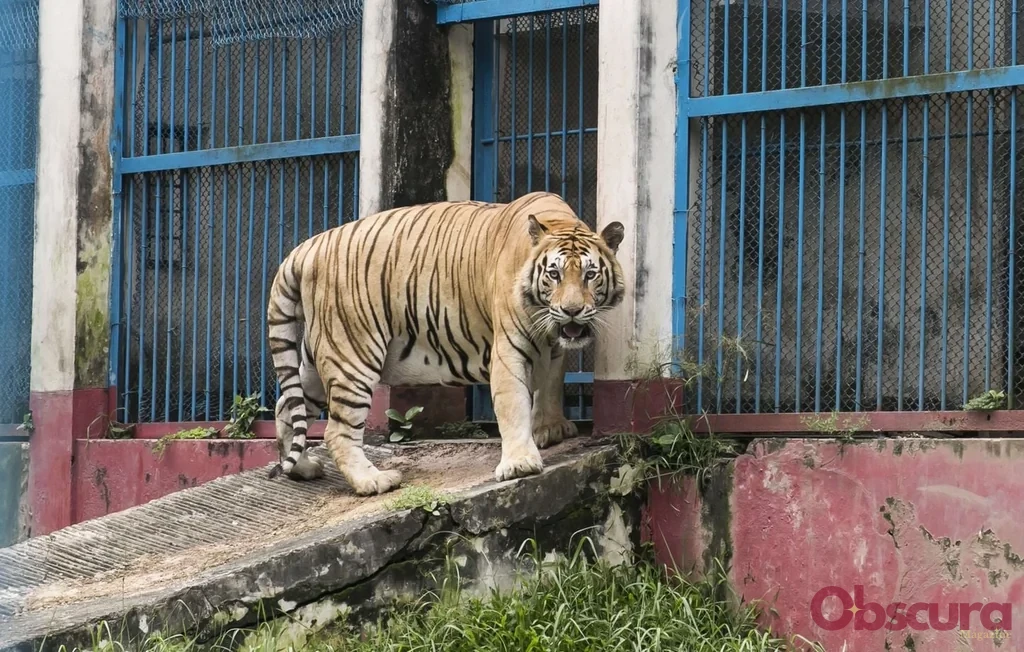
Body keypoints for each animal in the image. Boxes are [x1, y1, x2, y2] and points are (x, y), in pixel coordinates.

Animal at [267, 191, 625, 495]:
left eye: (590, 275)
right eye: (553, 274)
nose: (572, 311)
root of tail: (307, 247)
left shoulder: (554, 346)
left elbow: (550, 384)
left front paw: (550, 429)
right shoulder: (509, 348)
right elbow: (512, 403)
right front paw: (520, 463)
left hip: (319, 358)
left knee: (288, 405)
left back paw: (302, 468)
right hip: (353, 355)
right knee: (336, 431)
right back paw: (373, 481)